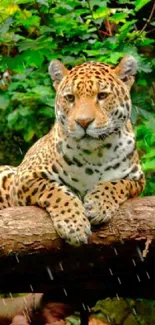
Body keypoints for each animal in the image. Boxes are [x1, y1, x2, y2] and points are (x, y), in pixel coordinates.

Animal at [0, 55, 145, 244]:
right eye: (70, 98)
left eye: (102, 95)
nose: (83, 122)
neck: (96, 154)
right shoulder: (23, 179)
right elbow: (55, 190)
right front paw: (73, 225)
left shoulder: (138, 180)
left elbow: (118, 184)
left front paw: (98, 204)